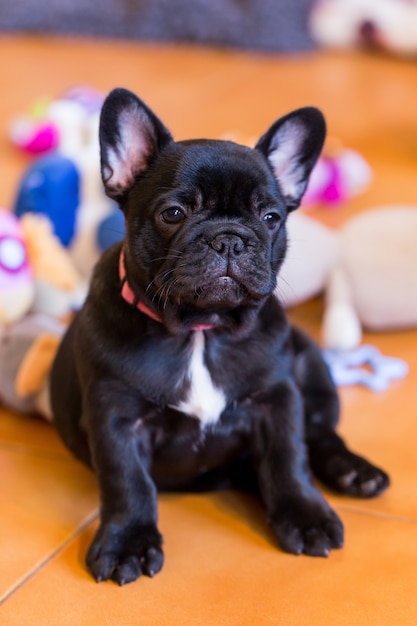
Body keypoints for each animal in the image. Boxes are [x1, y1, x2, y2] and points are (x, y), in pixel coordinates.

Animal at [50, 89, 388, 584]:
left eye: (271, 217)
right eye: (173, 213)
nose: (229, 239)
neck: (201, 331)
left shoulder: (277, 400)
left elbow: (289, 458)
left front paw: (304, 515)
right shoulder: (117, 418)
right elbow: (126, 481)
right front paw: (128, 541)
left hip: (311, 363)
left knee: (321, 433)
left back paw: (354, 472)